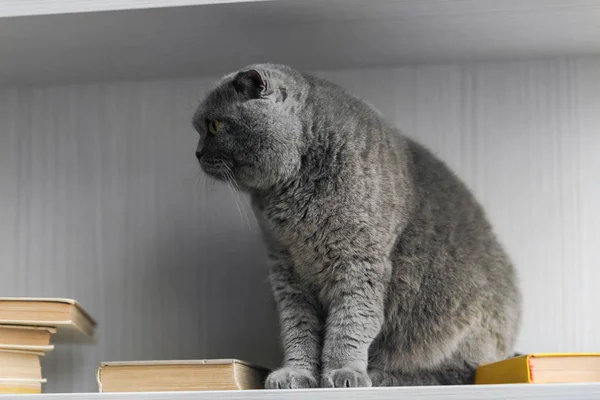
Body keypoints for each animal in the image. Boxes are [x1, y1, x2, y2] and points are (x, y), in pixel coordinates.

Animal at [192, 64, 520, 390]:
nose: (196, 153)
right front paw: (296, 374)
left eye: (214, 126)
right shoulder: (286, 272)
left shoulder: (359, 261)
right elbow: (297, 328)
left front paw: (343, 372)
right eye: (199, 128)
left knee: (456, 372)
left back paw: (385, 375)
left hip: (462, 322)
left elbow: (351, 320)